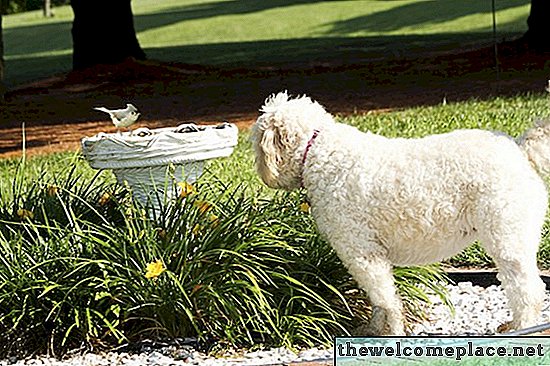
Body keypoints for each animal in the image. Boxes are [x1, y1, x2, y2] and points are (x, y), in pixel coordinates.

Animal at [253, 91, 550, 334]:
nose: (261, 171)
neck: (318, 149)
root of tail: (519, 149)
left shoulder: (362, 253)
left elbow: (386, 300)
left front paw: (392, 331)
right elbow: (377, 302)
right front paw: (373, 329)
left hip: (508, 240)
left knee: (528, 289)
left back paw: (523, 327)